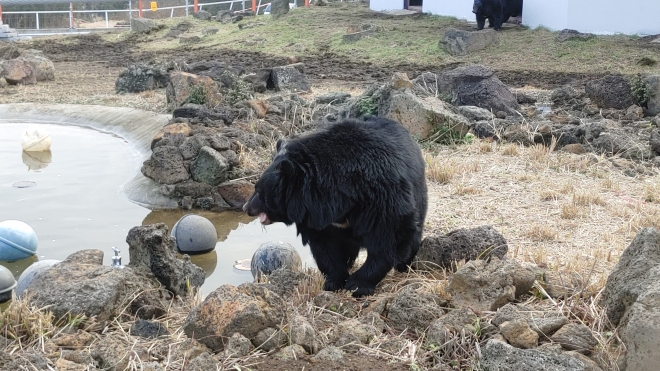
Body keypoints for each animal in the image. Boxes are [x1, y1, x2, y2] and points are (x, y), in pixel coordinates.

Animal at [242, 117, 428, 298]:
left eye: (259, 191)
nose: (246, 207)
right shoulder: (318, 217)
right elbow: (325, 247)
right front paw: (333, 282)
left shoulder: (380, 195)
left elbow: (389, 234)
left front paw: (357, 285)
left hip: (418, 191)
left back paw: (404, 266)